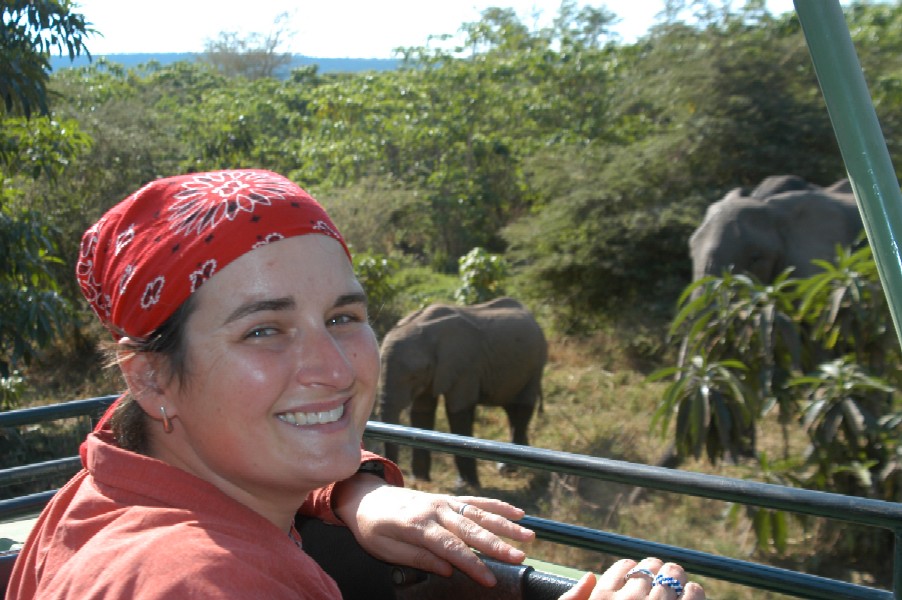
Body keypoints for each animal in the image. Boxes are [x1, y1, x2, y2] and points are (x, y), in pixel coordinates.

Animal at [376, 296, 548, 488]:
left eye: (414, 376)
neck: (425, 327)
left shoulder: (466, 365)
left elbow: (457, 412)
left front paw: (466, 485)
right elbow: (422, 411)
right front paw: (420, 479)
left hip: (537, 361)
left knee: (523, 407)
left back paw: (508, 469)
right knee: (510, 408)